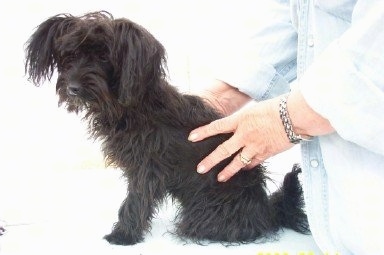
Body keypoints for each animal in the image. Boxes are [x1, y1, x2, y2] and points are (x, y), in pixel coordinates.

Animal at [24, 11, 308, 245]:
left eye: (104, 57)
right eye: (70, 56)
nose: (73, 88)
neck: (132, 106)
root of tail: (266, 212)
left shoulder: (148, 166)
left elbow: (135, 199)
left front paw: (123, 235)